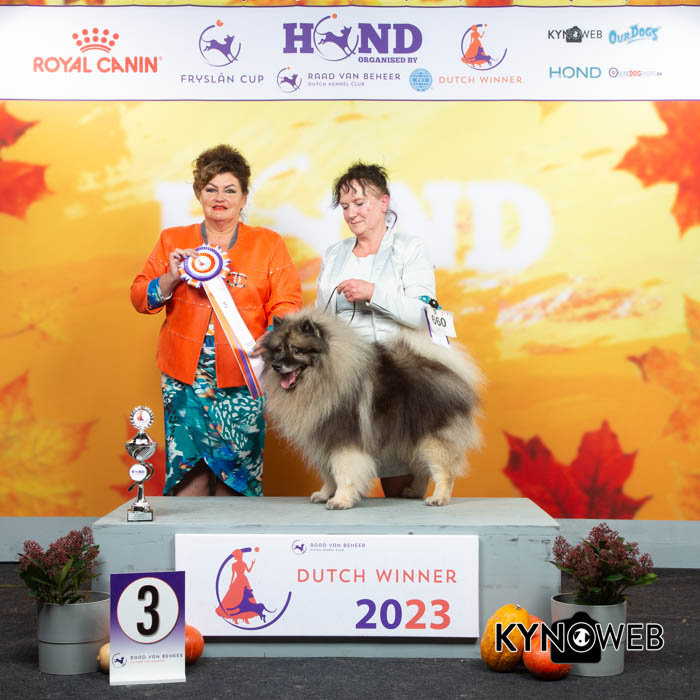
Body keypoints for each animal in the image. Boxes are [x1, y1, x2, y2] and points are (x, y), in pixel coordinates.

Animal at [261, 309, 482, 510]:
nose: (277, 365)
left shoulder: (344, 439)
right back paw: (414, 491)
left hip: (432, 438)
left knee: (443, 471)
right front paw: (325, 494)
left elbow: (343, 473)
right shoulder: (323, 440)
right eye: (278, 349)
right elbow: (328, 473)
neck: (323, 378)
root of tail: (444, 368)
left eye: (296, 351)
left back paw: (439, 498)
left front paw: (340, 500)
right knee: (422, 469)